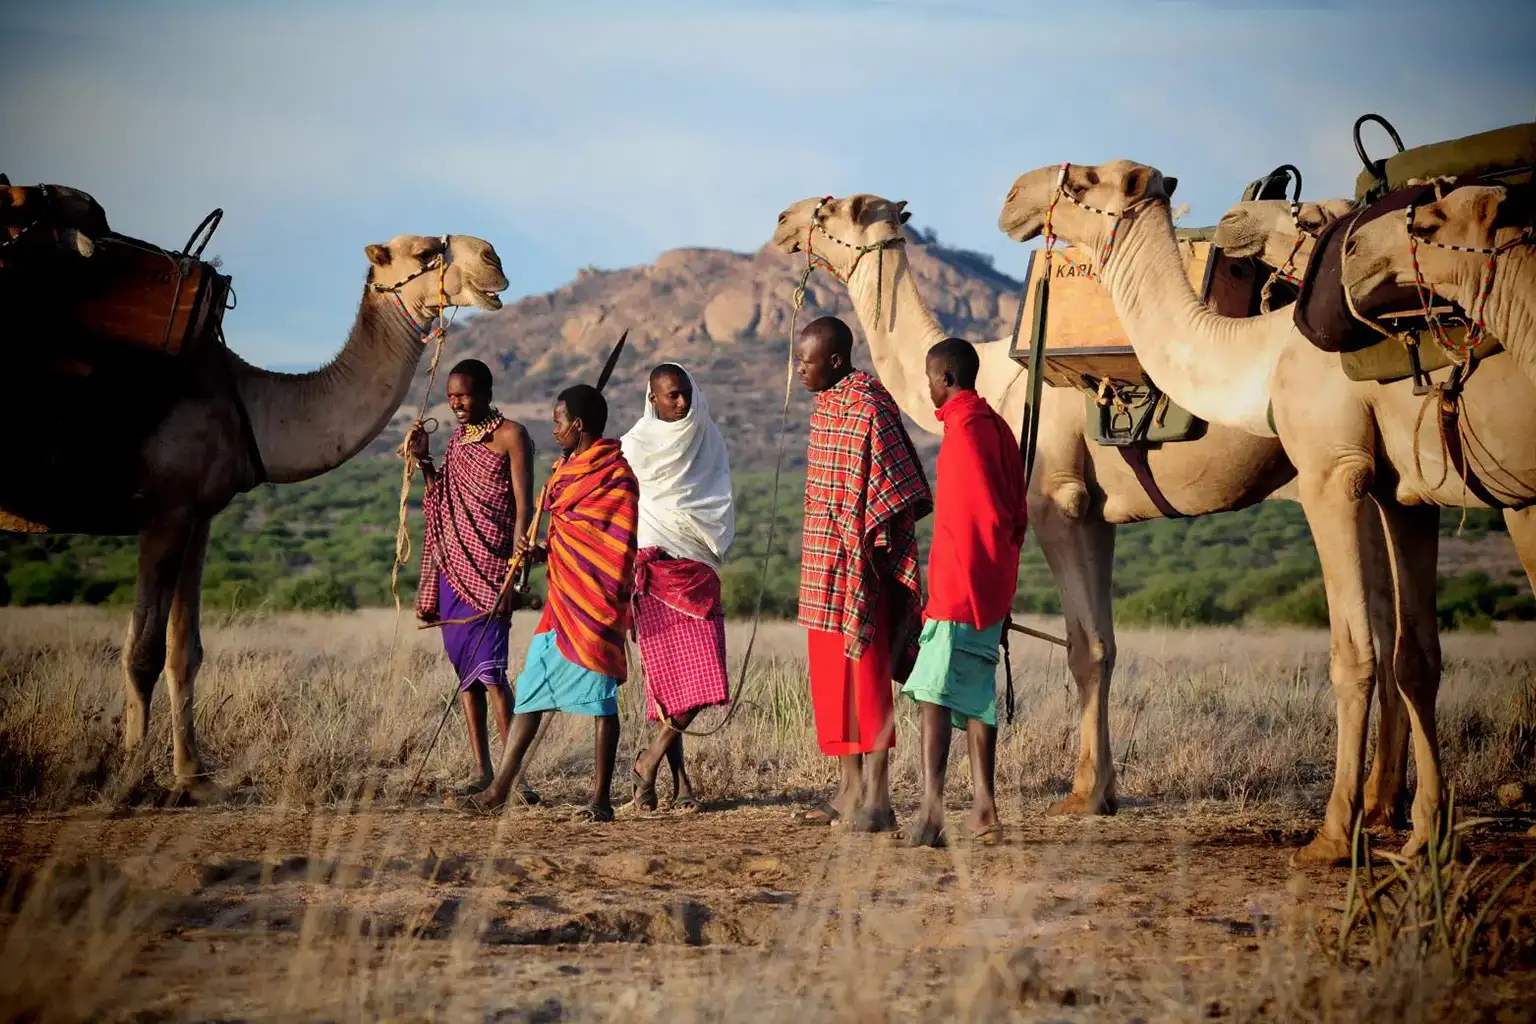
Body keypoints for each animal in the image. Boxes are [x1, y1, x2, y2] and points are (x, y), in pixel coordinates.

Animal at [1, 233, 509, 799]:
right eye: (425, 252)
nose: (493, 259)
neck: (247, 401)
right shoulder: (163, 509)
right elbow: (142, 649)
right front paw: (129, 780)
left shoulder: (196, 515)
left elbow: (184, 649)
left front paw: (194, 778)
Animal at [769, 193, 1299, 816]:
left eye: (832, 209)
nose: (783, 220)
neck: (998, 379)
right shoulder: (1097, 513)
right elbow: (1106, 645)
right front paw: (1105, 790)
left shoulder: (1056, 501)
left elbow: (1084, 648)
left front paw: (1083, 795)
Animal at [998, 160, 1536, 863]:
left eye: (1086, 181)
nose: (1014, 196)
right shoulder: (1403, 490)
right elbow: (1415, 654)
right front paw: (1426, 834)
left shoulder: (1331, 471)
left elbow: (1353, 654)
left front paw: (1335, 835)